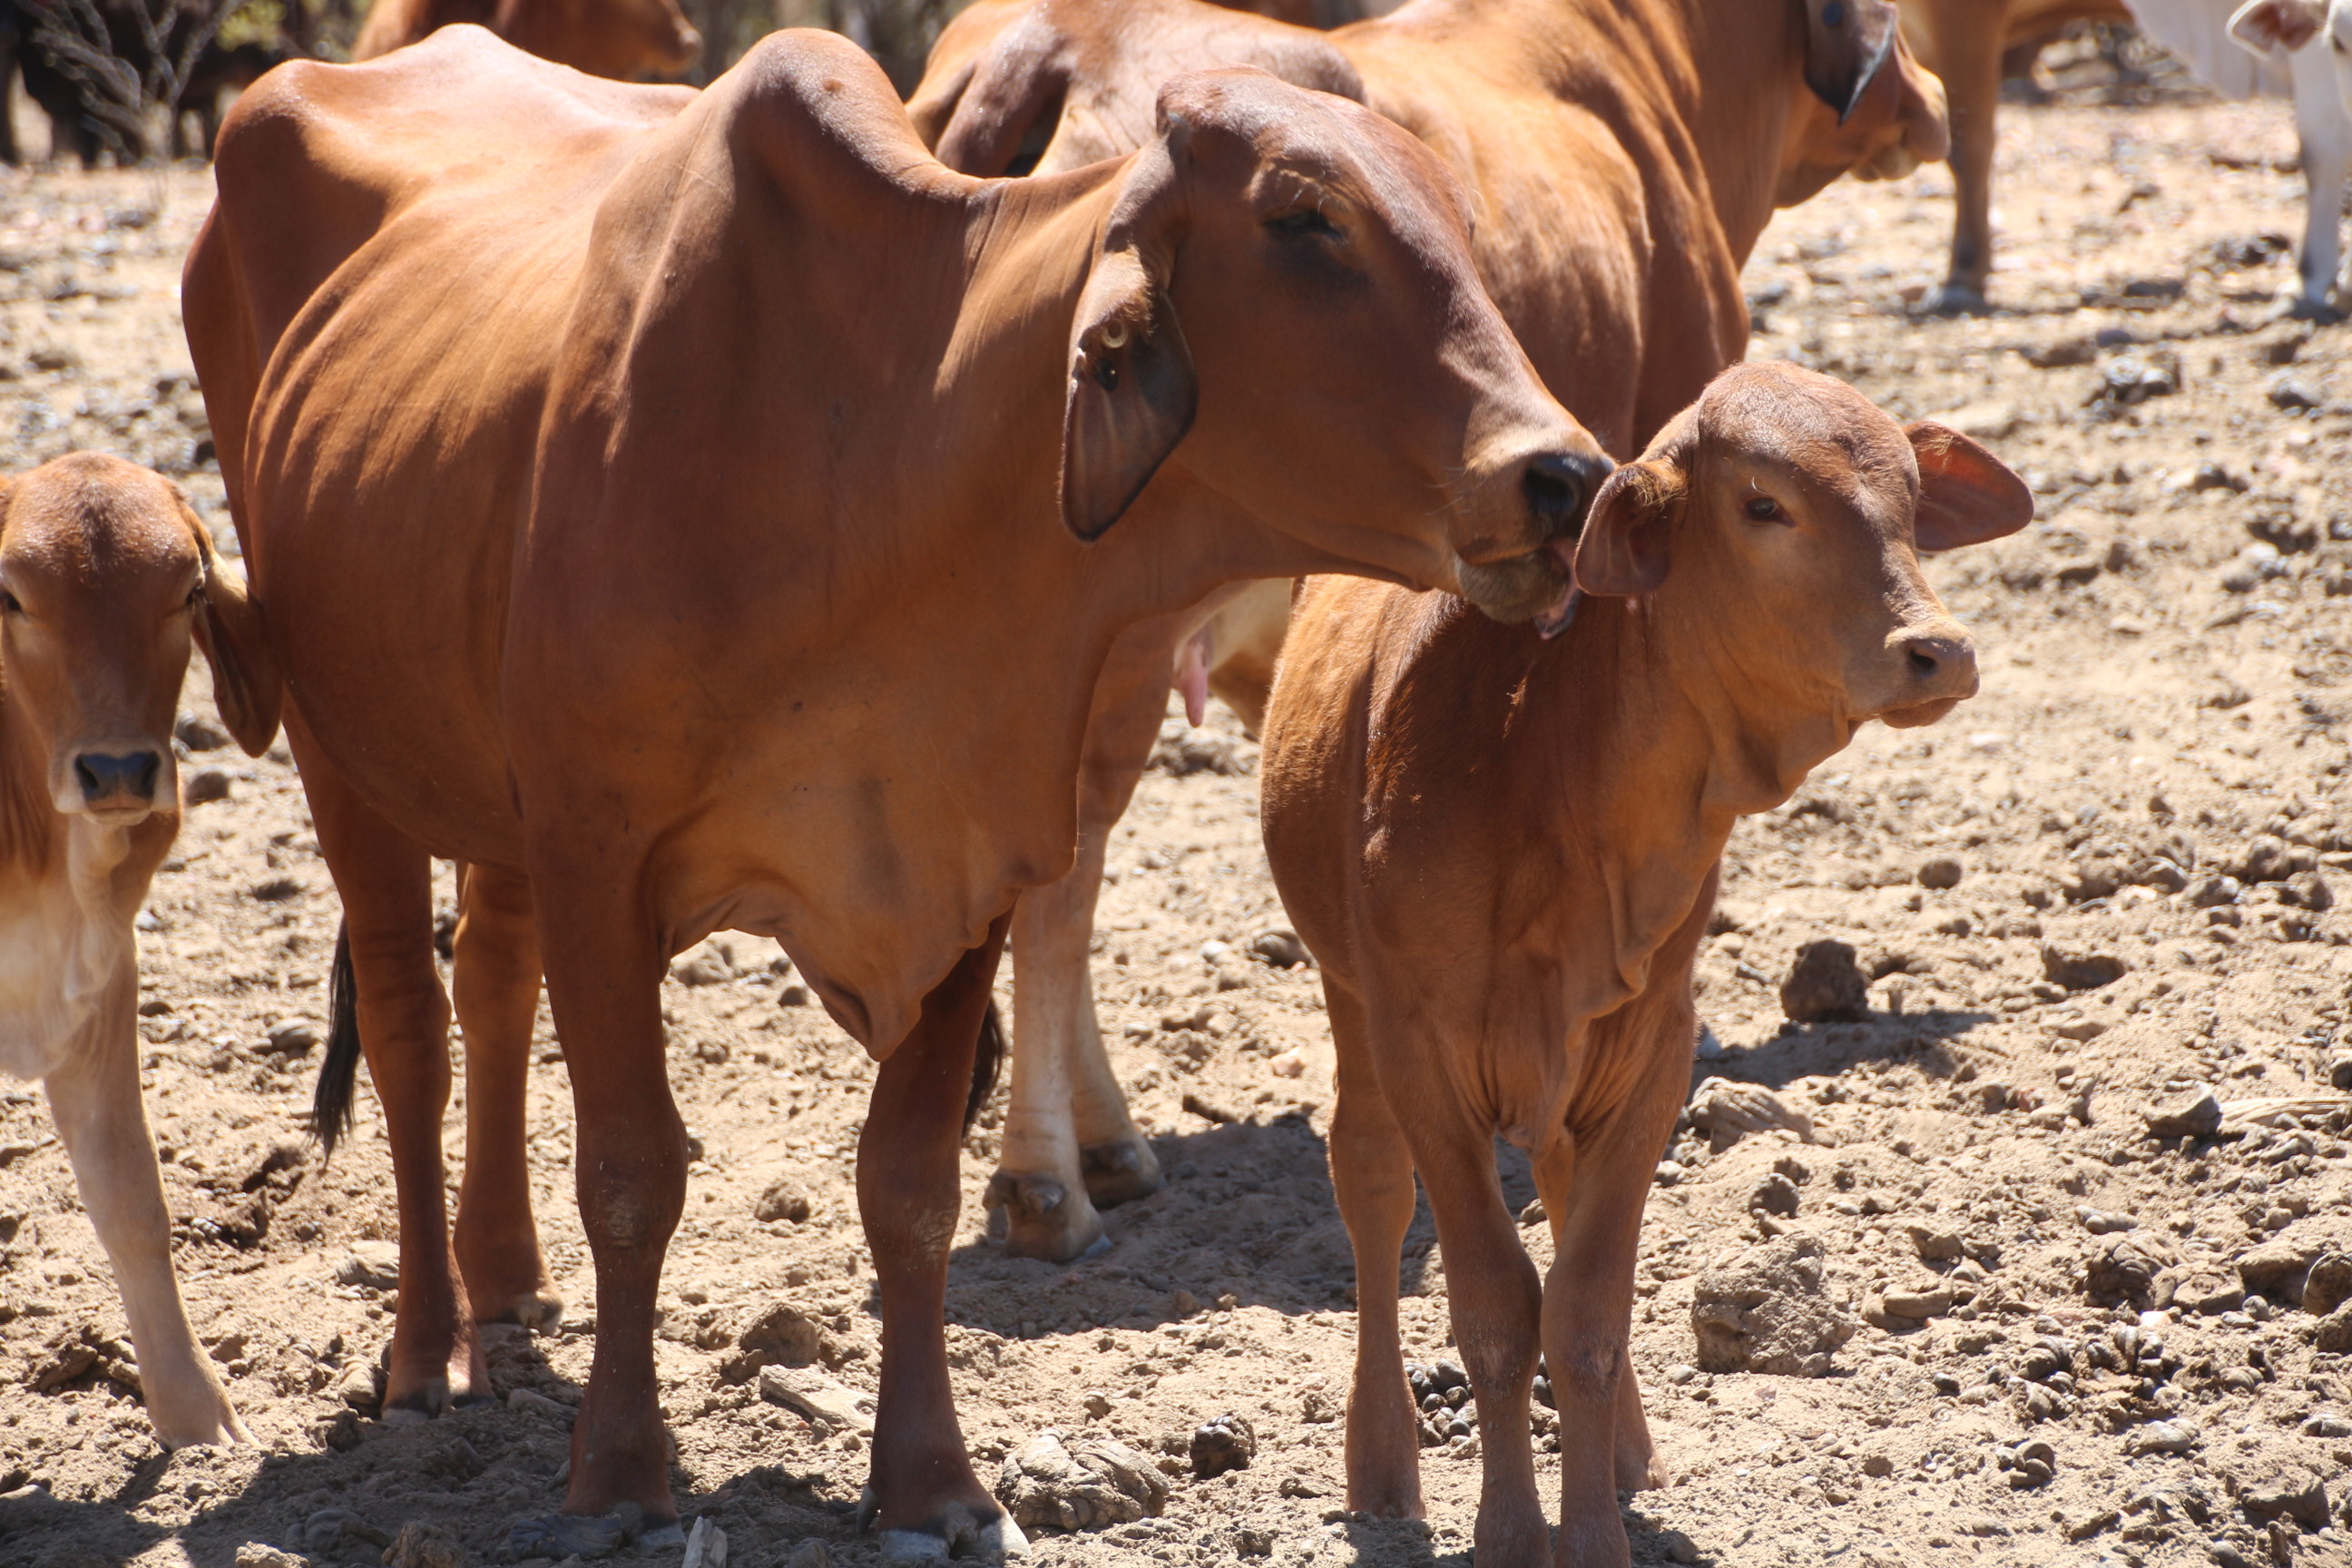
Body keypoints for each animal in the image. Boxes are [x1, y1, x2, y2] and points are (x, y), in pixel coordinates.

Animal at [0, 453, 278, 1450]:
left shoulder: (98, 974)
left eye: (188, 591)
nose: (117, 771)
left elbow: (131, 1195)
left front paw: (196, 1414)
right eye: (10, 596)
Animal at [185, 27, 1611, 1555]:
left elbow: (911, 1191)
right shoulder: (597, 855)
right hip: (339, 748)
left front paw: (932, 1480)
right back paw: (424, 1352)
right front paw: (619, 1470)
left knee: (495, 985)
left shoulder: (962, 877)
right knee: (411, 1035)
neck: (878, 448)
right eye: (1304, 218)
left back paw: (507, 1281)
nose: (1561, 474)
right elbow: (632, 1174)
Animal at [1259, 361, 2033, 1567]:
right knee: (1373, 1188)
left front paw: (1593, 1530)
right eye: (1764, 505)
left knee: (1561, 1203)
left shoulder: (1651, 1055)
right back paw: (1382, 1465)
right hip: (1350, 1003)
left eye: (1912, 501)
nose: (1938, 652)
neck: (1549, 761)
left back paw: (1625, 1454)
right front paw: (1511, 1534)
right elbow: (1496, 1309)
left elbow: (1585, 1310)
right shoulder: (1424, 1056)